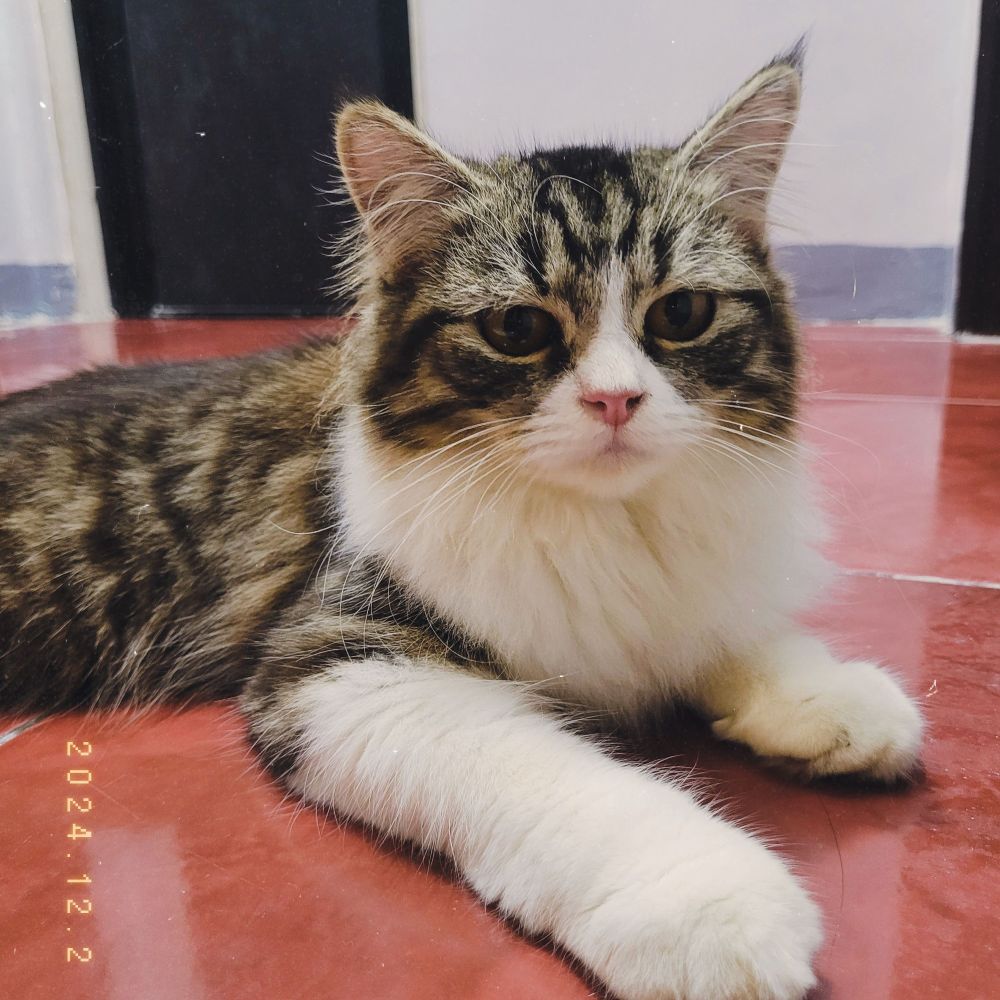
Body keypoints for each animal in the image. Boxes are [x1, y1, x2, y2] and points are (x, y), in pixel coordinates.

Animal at [0, 47, 923, 1000]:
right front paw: (708, 909)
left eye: (680, 314)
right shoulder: (340, 661)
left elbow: (731, 631)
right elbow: (563, 783)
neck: (601, 523)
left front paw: (828, 699)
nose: (616, 400)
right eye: (519, 327)